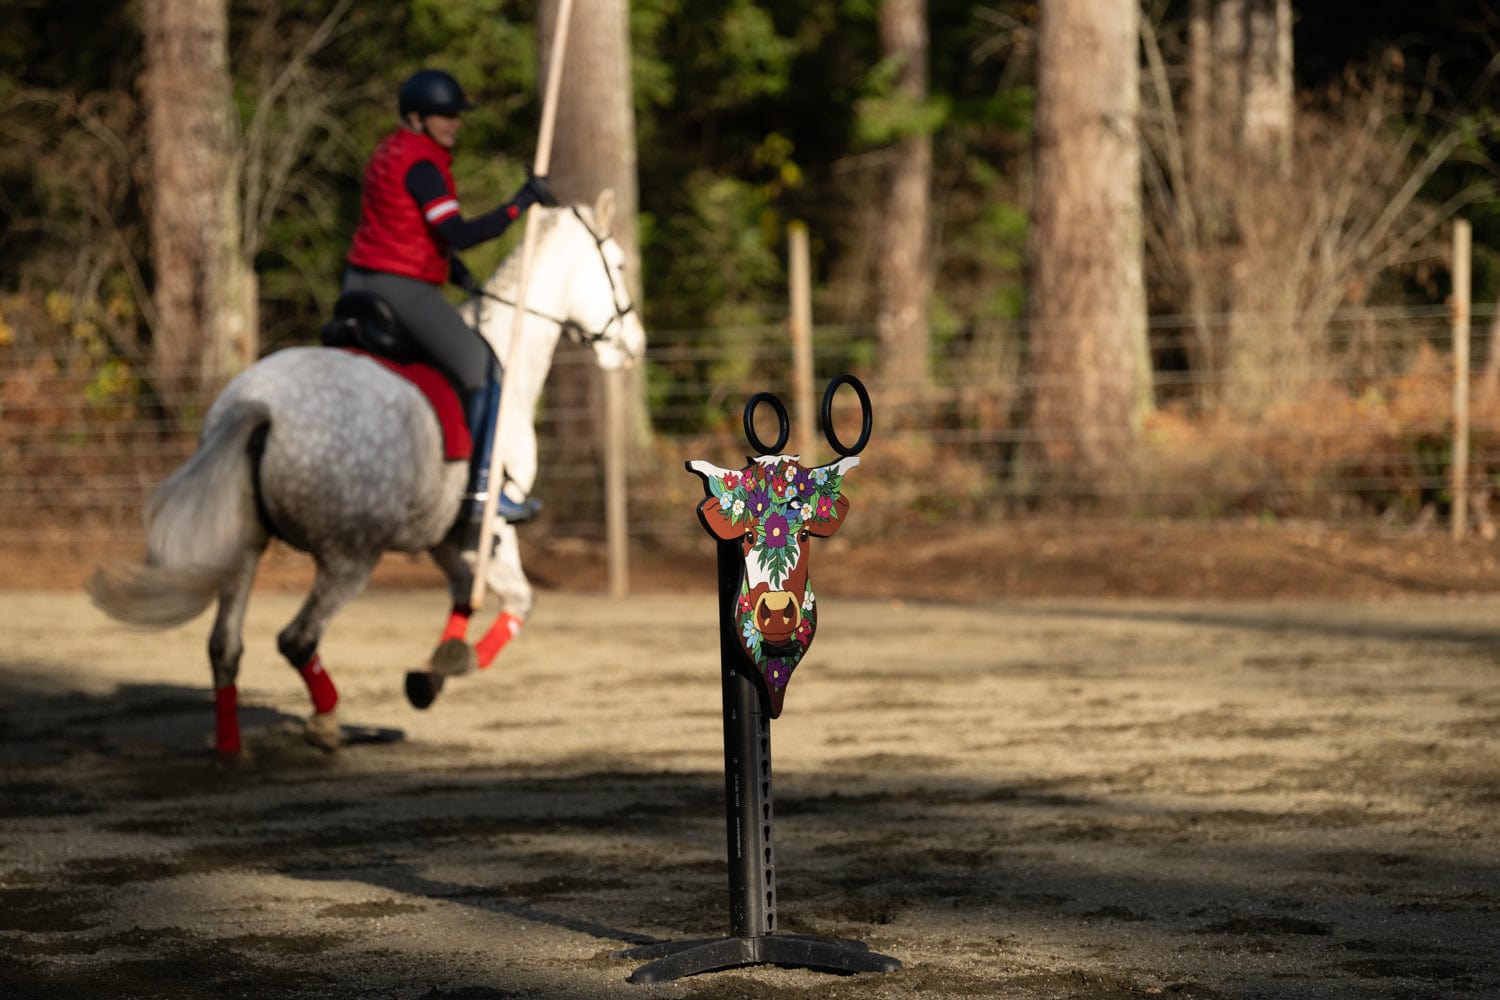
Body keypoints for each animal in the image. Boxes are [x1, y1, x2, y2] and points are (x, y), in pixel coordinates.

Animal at [92, 193, 645, 758]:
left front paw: (432, 672)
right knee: (297, 639)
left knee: (225, 646)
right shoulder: (487, 526)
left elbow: (466, 596)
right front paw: (453, 664)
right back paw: (326, 720)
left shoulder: (445, 535)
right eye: (620, 264)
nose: (634, 344)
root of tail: (256, 405)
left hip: (244, 546)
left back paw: (232, 748)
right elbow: (521, 601)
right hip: (350, 558)